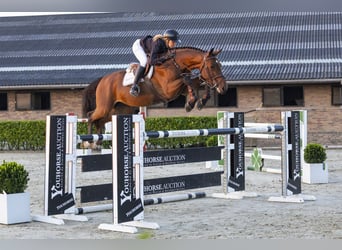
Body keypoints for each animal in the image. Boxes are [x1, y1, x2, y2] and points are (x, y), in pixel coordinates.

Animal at [83, 47, 227, 136]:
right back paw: (90, 143)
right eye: (212, 66)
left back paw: (98, 142)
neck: (174, 64)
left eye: (219, 65)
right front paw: (191, 103)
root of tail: (102, 80)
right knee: (91, 116)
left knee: (100, 120)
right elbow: (188, 80)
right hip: (105, 106)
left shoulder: (179, 90)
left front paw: (197, 102)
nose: (224, 87)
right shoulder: (168, 89)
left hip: (119, 109)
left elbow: (196, 83)